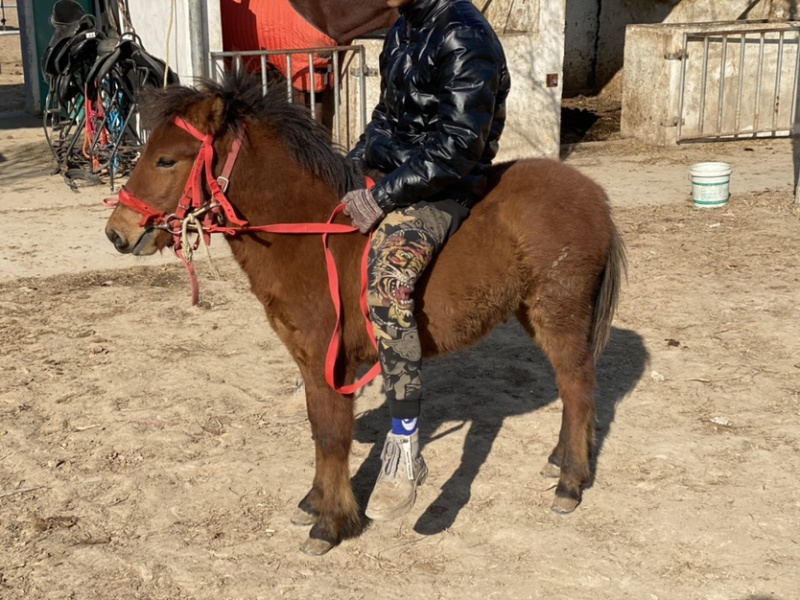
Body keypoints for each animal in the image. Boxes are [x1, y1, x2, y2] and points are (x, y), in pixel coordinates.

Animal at [105, 71, 626, 556]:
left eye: (167, 159)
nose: (116, 232)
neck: (309, 237)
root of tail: (595, 195)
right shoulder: (311, 364)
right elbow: (319, 428)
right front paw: (315, 503)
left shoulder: (329, 363)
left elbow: (331, 434)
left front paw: (331, 523)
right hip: (535, 315)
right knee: (572, 387)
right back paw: (560, 462)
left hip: (560, 313)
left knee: (578, 386)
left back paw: (570, 482)